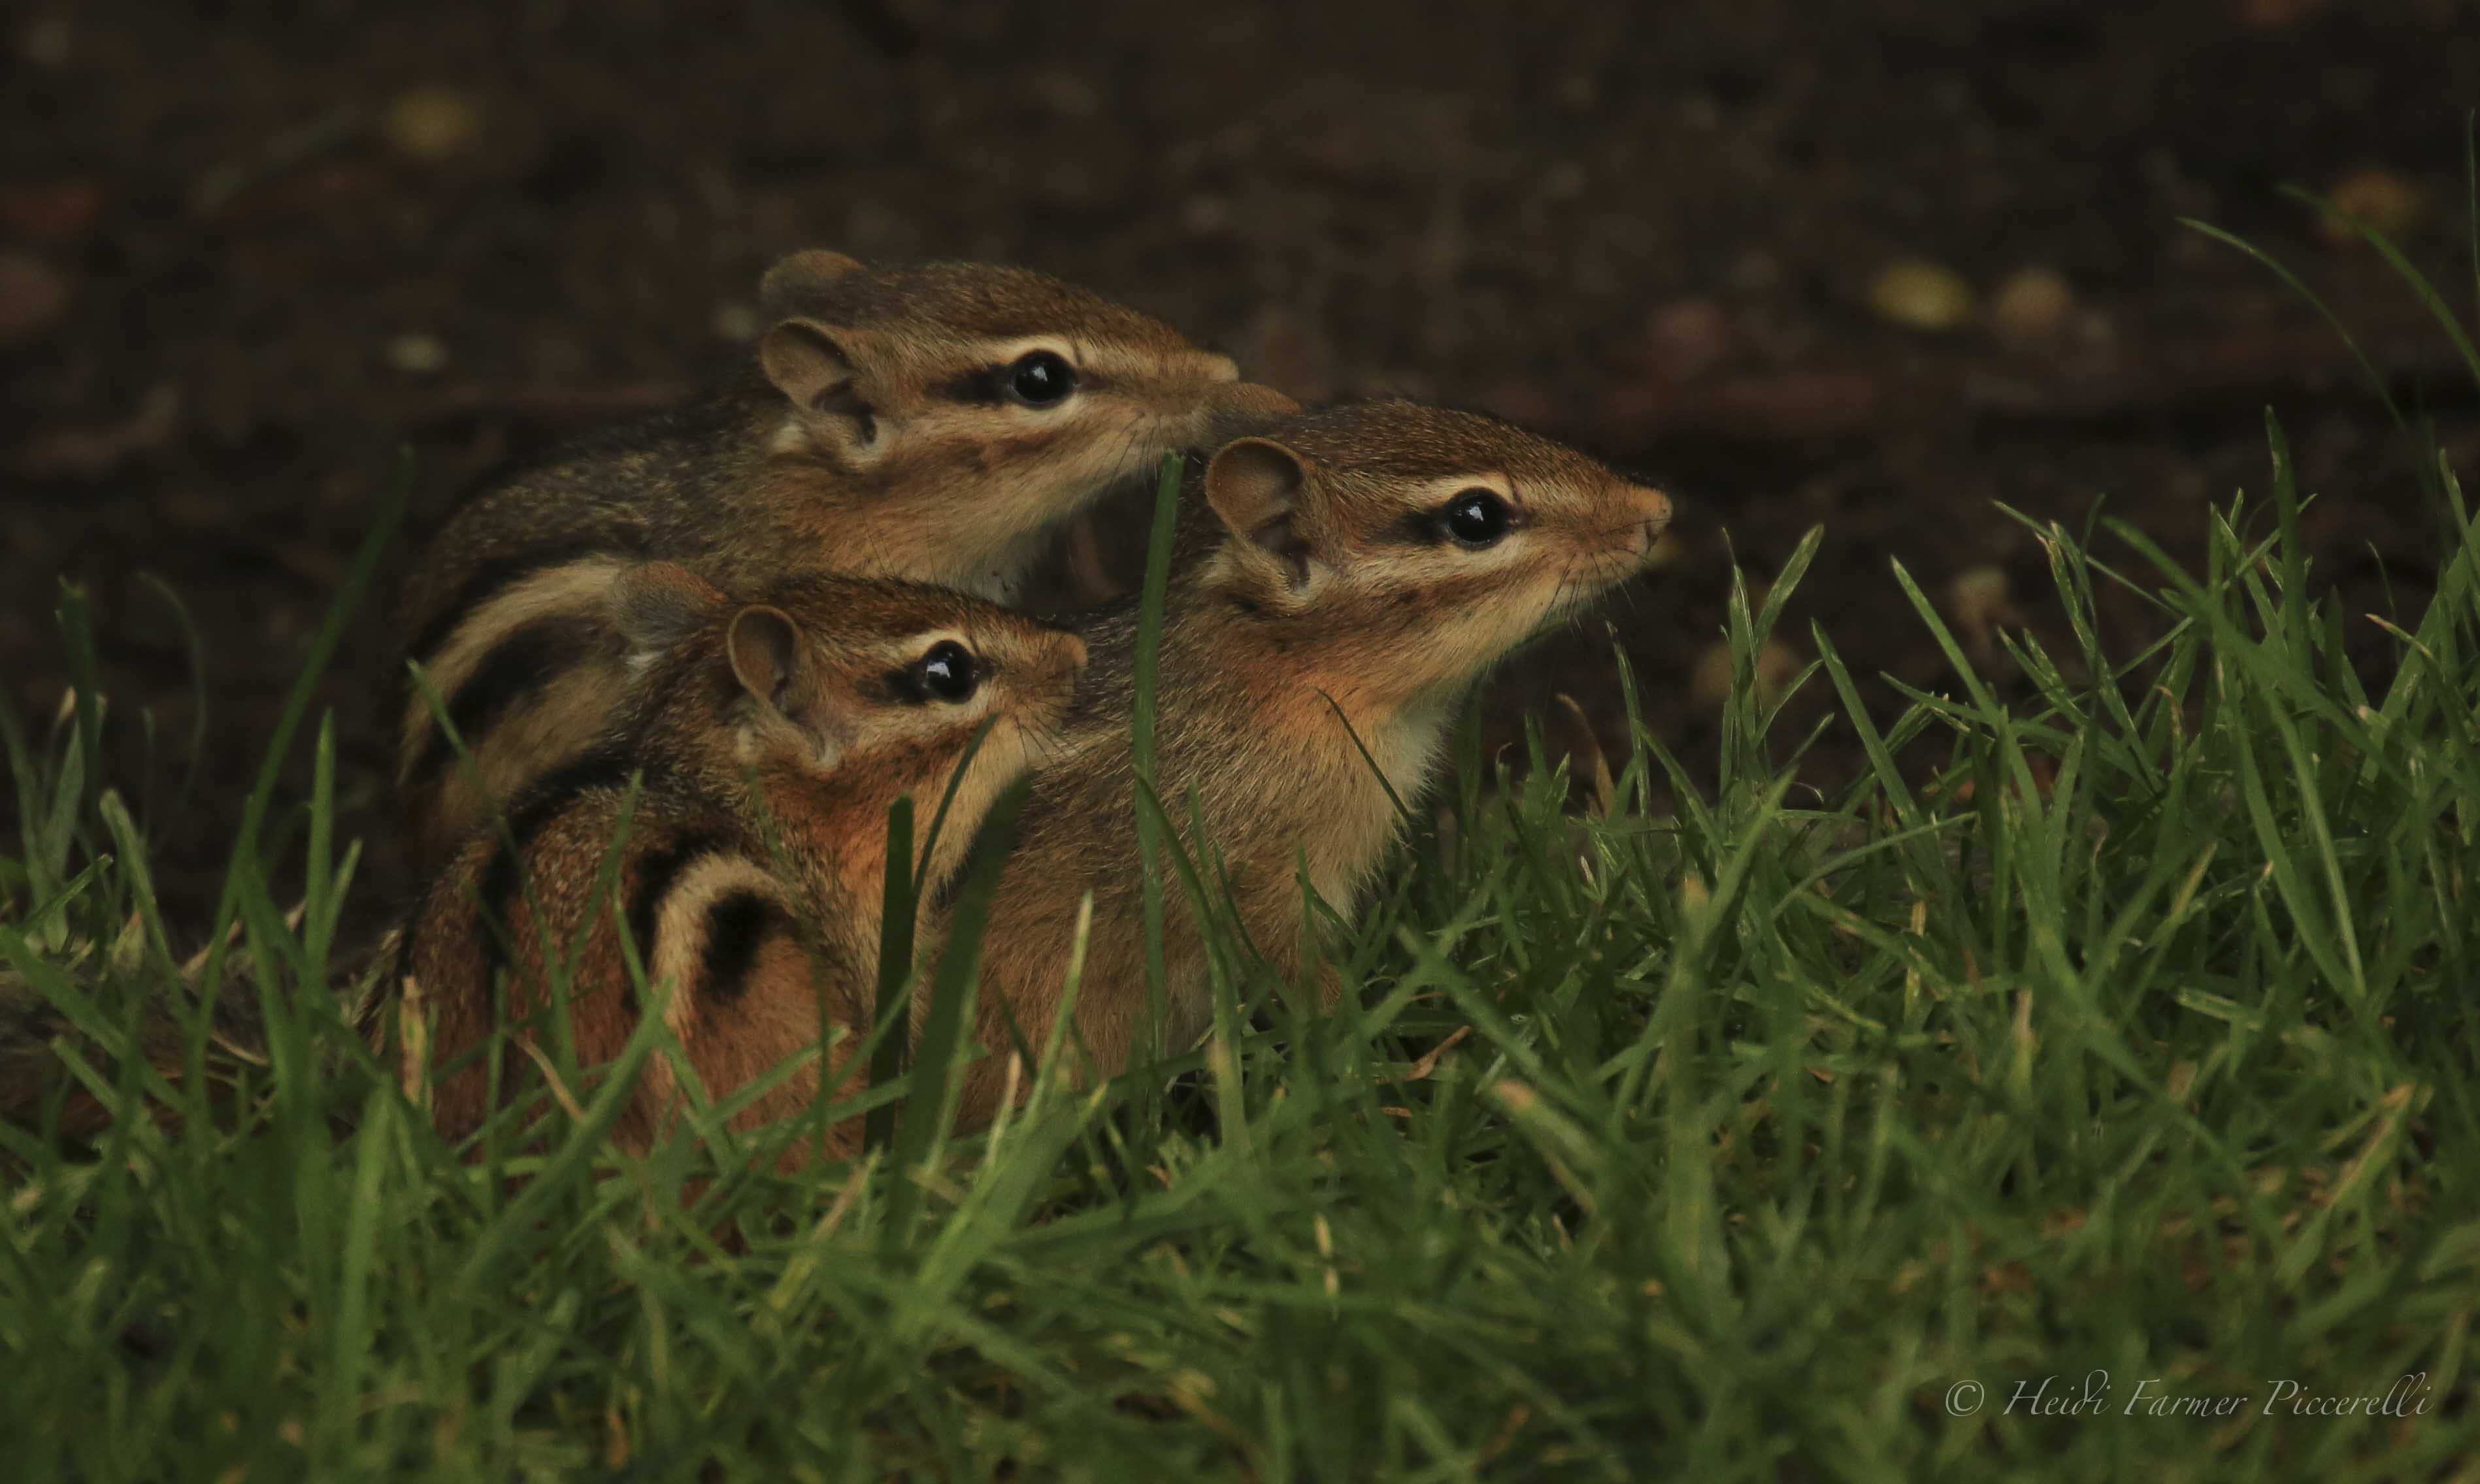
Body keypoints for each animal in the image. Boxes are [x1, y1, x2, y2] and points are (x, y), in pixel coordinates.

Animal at [934, 399, 1673, 1129]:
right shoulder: (1258, 884)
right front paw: (1390, 1067)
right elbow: (1306, 983)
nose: (1657, 510)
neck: (1269, 677)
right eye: (1475, 517)